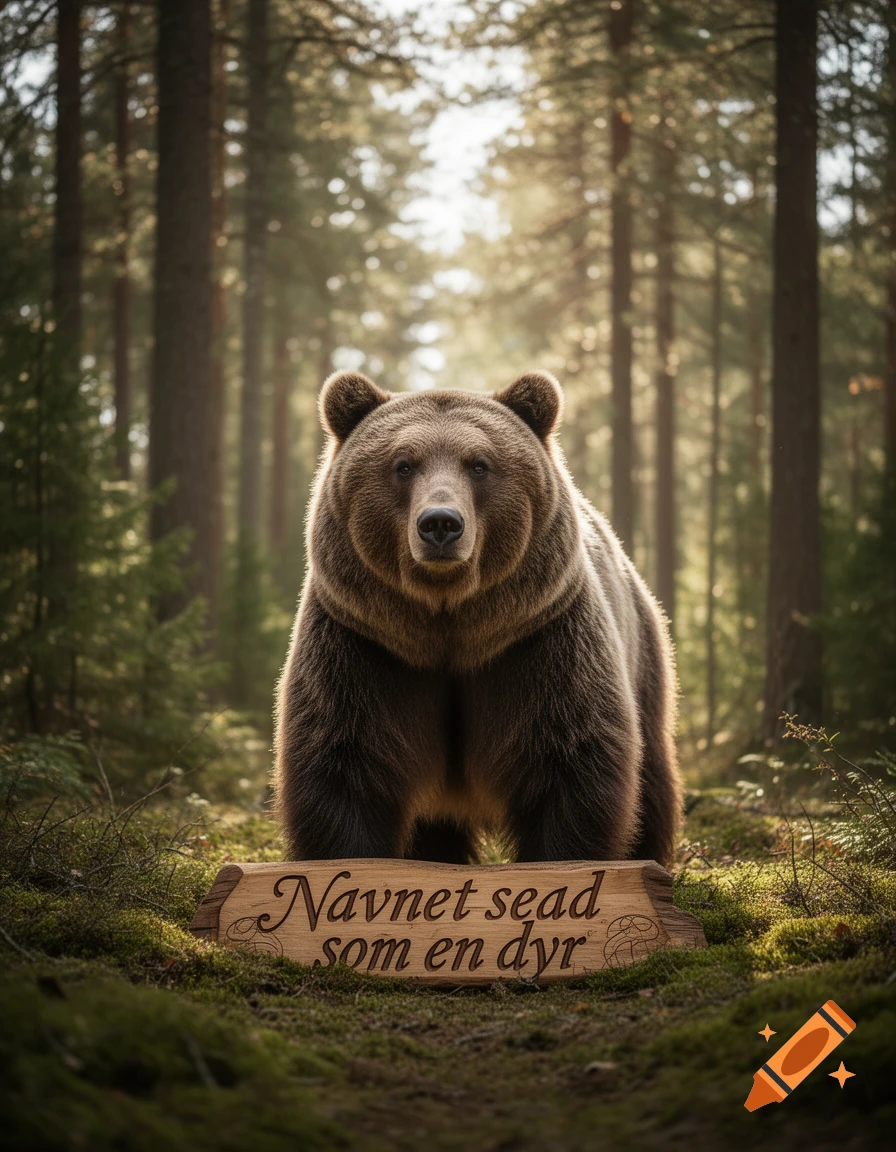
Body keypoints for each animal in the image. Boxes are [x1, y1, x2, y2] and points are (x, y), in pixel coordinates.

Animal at [273, 369, 682, 867]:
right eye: (403, 464)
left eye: (479, 464)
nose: (440, 523)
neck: (451, 625)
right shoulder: (365, 646)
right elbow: (344, 766)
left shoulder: (540, 643)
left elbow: (571, 763)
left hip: (642, 654)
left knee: (652, 779)